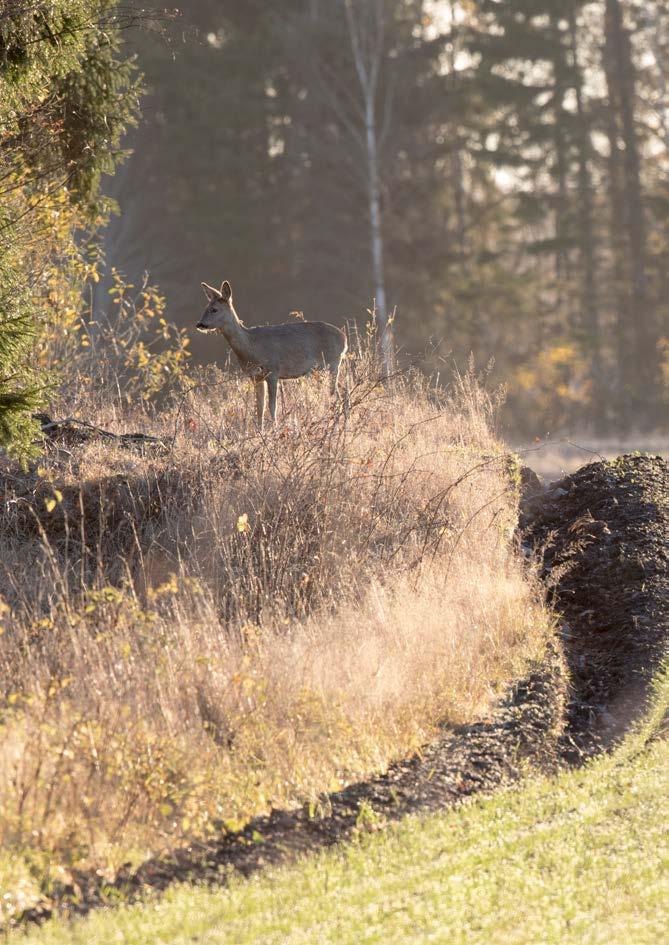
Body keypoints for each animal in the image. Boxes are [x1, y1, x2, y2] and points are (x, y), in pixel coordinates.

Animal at [196, 280, 348, 428]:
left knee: (336, 396)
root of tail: (344, 339)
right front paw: (259, 432)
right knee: (343, 393)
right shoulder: (256, 377)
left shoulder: (273, 372)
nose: (200, 324)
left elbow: (272, 406)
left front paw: (274, 430)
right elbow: (259, 408)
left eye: (214, 309)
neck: (252, 347)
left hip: (331, 364)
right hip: (324, 369)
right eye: (205, 308)